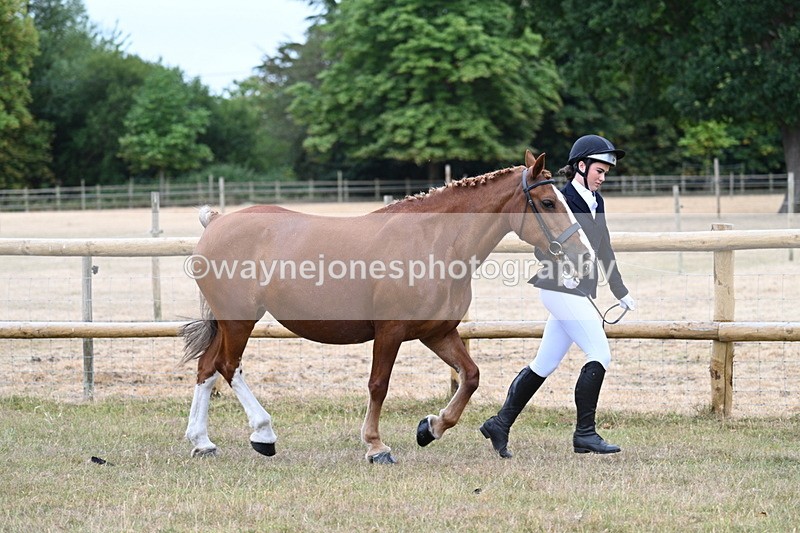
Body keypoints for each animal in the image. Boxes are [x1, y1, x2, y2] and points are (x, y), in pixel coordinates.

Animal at [180, 151, 594, 464]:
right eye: (547, 202)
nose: (584, 256)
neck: (434, 242)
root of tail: (215, 222)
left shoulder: (438, 333)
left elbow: (471, 376)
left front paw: (431, 427)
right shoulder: (390, 332)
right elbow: (379, 385)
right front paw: (376, 446)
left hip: (229, 322)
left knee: (207, 369)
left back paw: (202, 442)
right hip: (239, 320)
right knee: (228, 366)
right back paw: (263, 434)